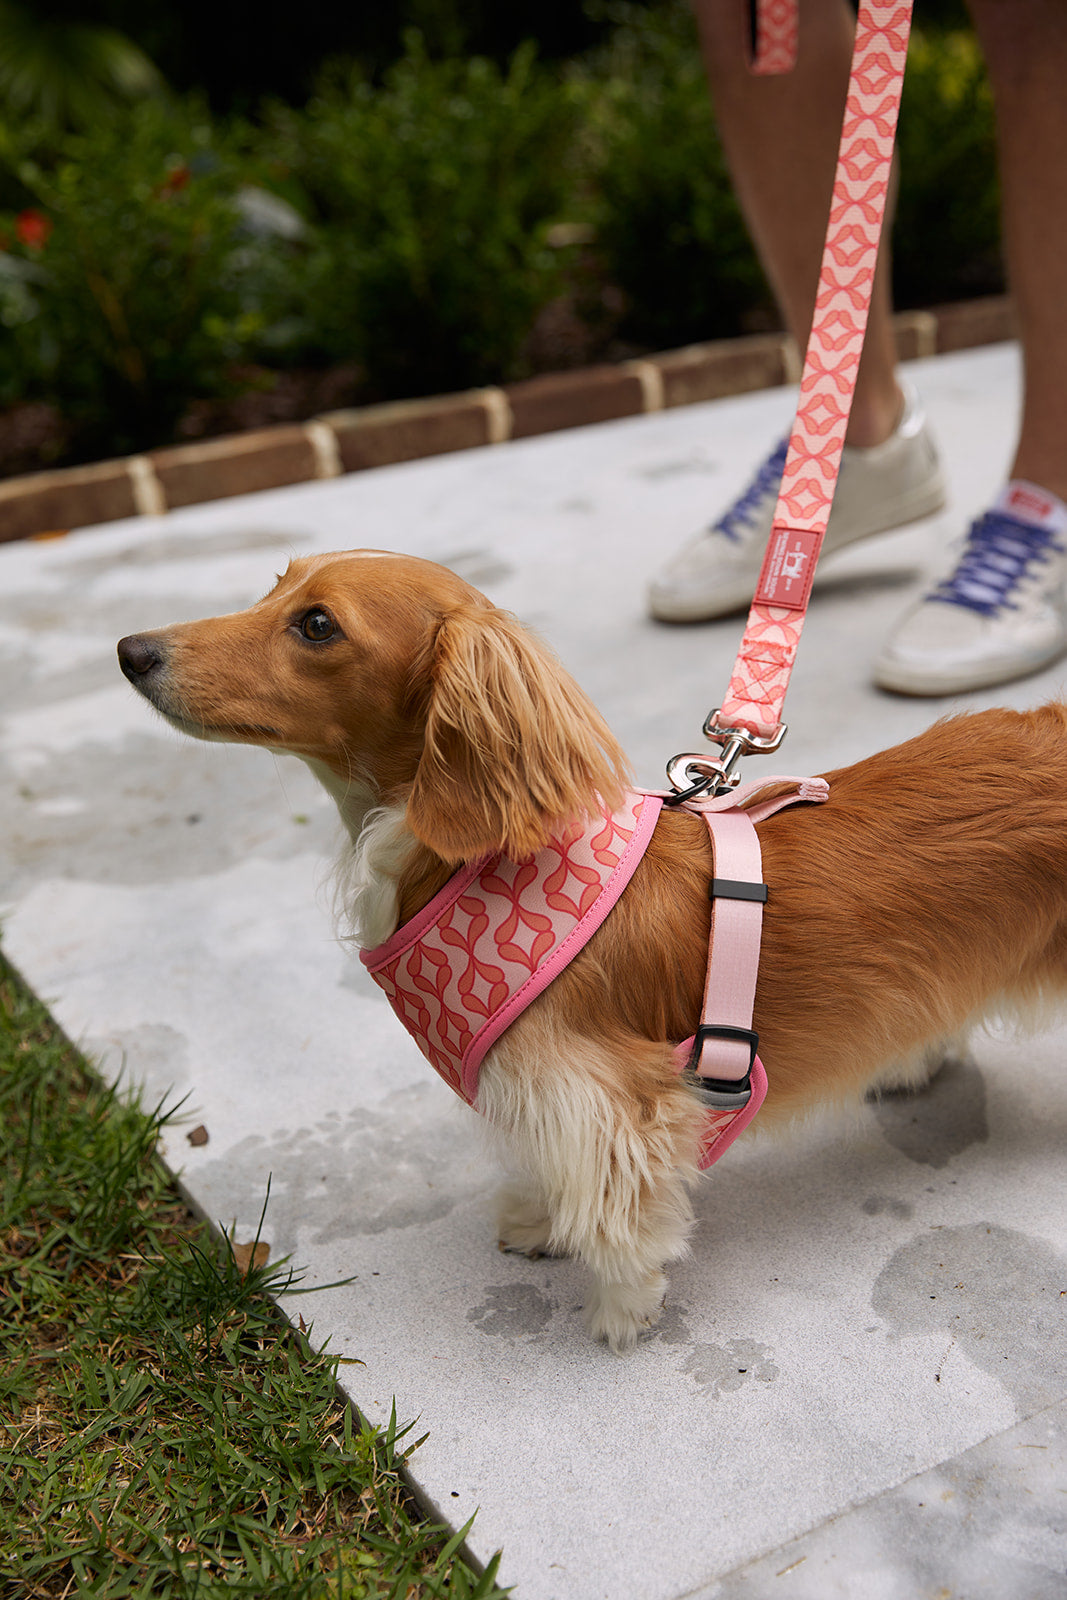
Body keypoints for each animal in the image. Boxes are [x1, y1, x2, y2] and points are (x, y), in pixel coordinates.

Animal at [116, 550, 1067, 1350]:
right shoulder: (542, 1090)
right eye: (275, 585)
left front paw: (621, 1312)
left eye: (316, 625)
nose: (131, 650)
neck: (476, 862)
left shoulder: (611, 1099)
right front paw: (541, 1223)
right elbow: (554, 1175)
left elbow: (617, 1216)